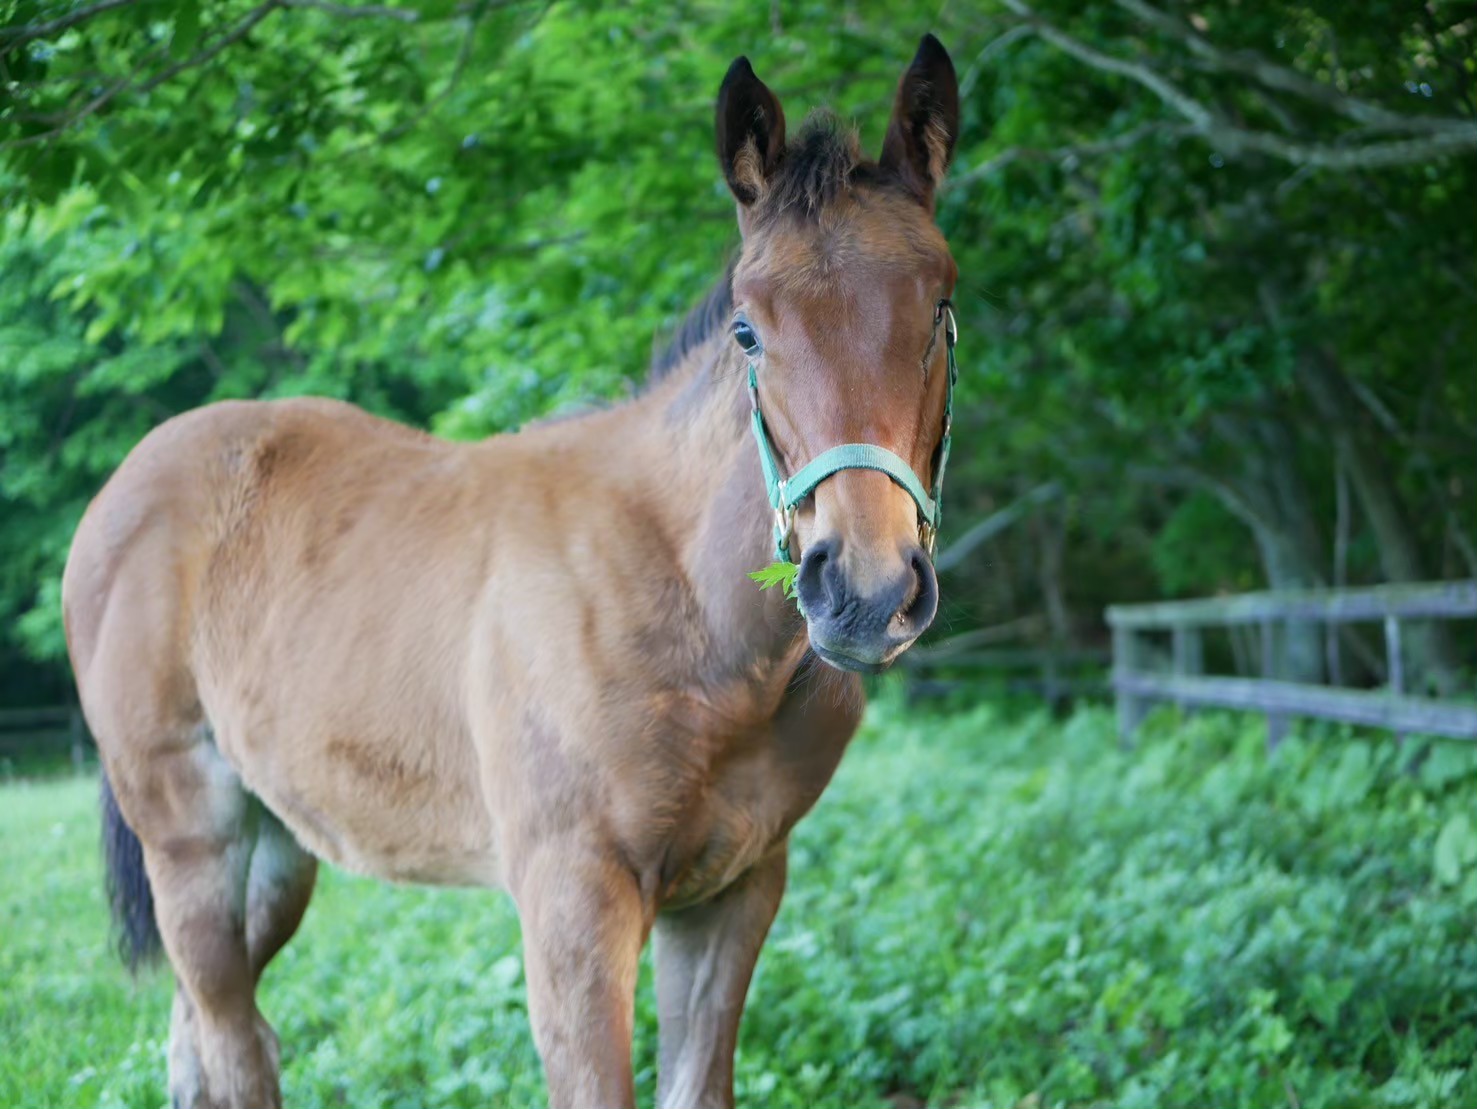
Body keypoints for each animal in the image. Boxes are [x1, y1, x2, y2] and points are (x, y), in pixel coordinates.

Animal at [69, 34, 963, 1109]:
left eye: (942, 308)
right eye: (748, 329)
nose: (865, 593)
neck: (692, 609)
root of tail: (127, 485)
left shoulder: (736, 890)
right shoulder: (571, 902)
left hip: (275, 843)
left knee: (203, 1030)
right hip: (188, 832)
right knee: (234, 1039)